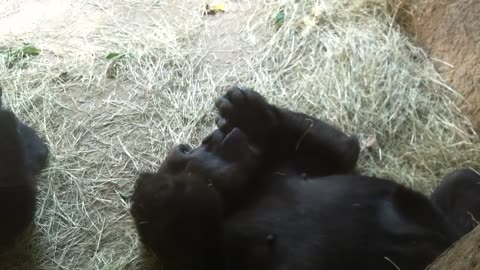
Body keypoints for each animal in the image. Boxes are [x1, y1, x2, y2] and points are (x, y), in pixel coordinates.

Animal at [130, 86, 468, 270]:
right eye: (191, 149)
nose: (212, 138)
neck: (247, 194)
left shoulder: (282, 164)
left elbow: (345, 152)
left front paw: (256, 116)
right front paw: (165, 195)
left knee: (462, 181)